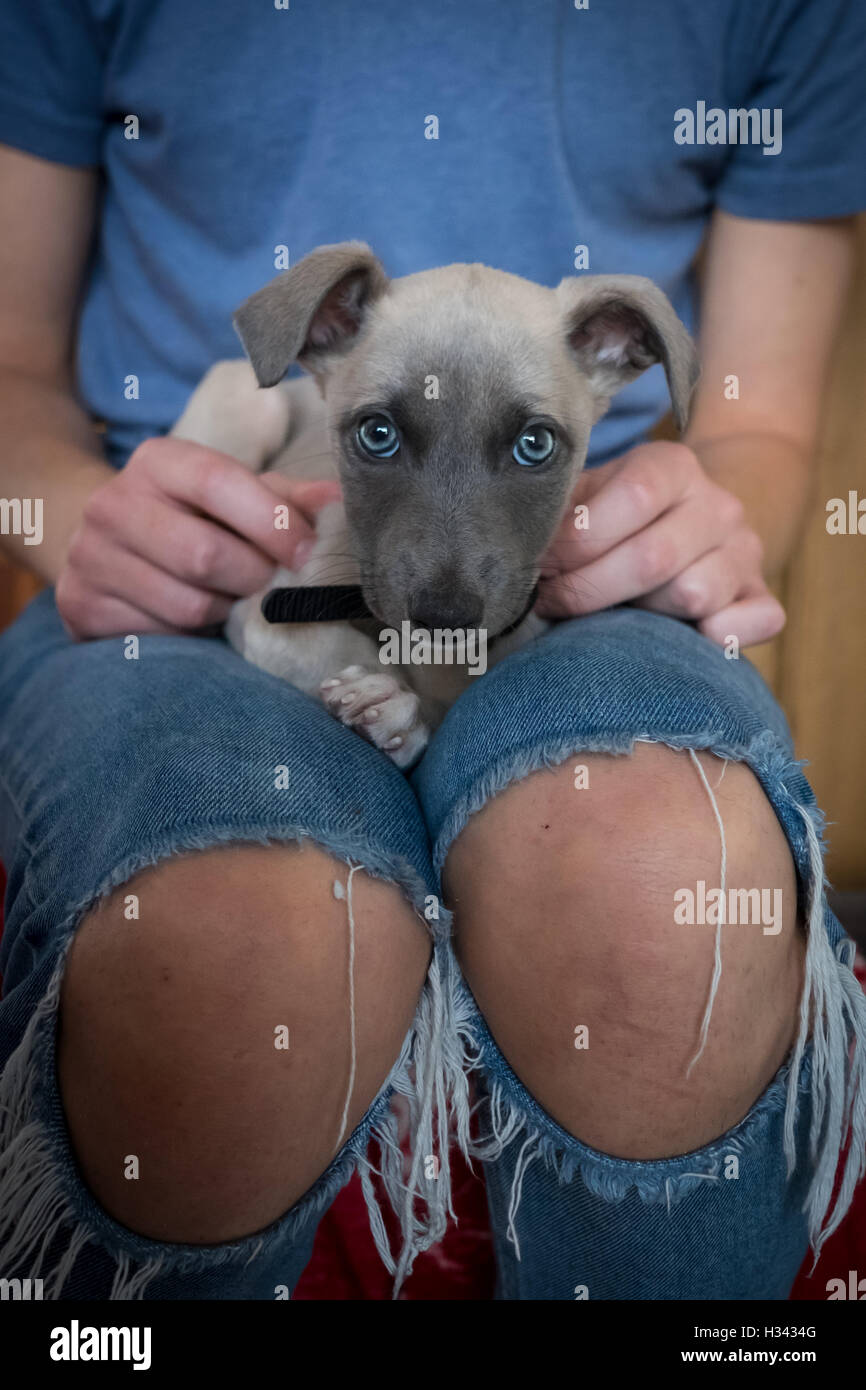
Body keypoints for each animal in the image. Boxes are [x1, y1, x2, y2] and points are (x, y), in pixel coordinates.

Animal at [173, 247, 700, 772]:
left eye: (535, 443)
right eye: (377, 434)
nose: (444, 616)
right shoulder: (265, 612)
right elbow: (335, 645)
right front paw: (384, 698)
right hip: (250, 406)